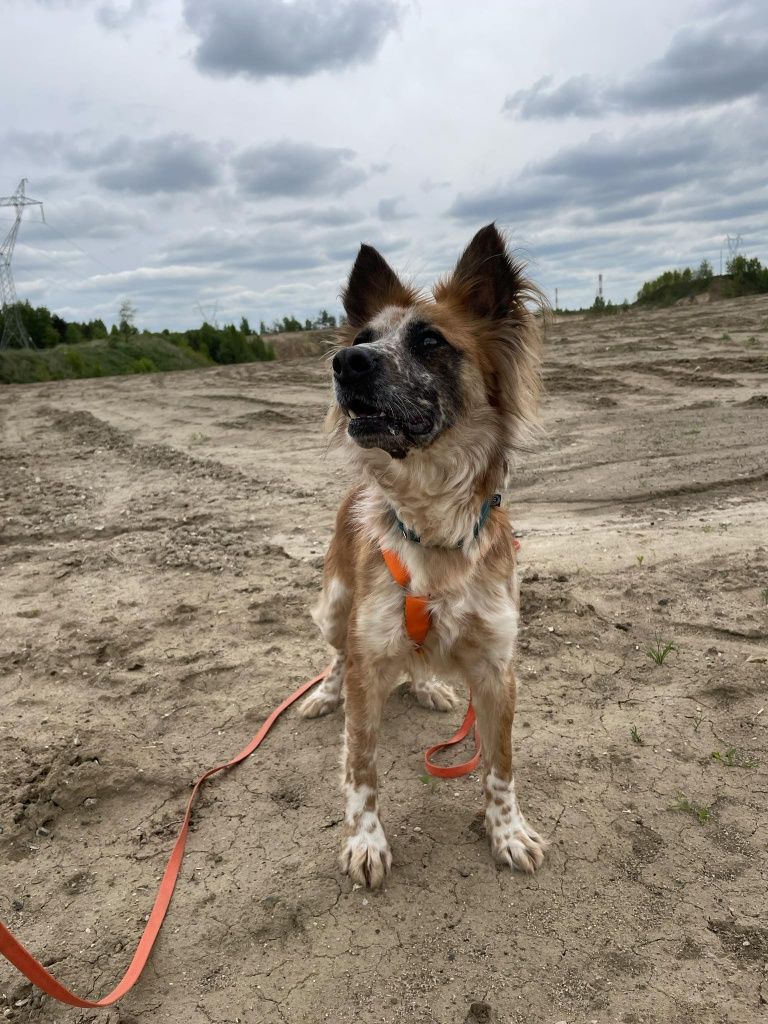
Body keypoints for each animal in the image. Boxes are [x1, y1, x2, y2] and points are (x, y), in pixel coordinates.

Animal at [301, 224, 548, 888]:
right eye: (362, 339)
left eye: (431, 341)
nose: (346, 363)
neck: (435, 532)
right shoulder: (368, 658)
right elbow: (360, 769)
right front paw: (365, 841)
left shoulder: (497, 669)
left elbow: (501, 767)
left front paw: (506, 832)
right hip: (335, 606)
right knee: (336, 657)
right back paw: (324, 694)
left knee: (414, 667)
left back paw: (428, 686)